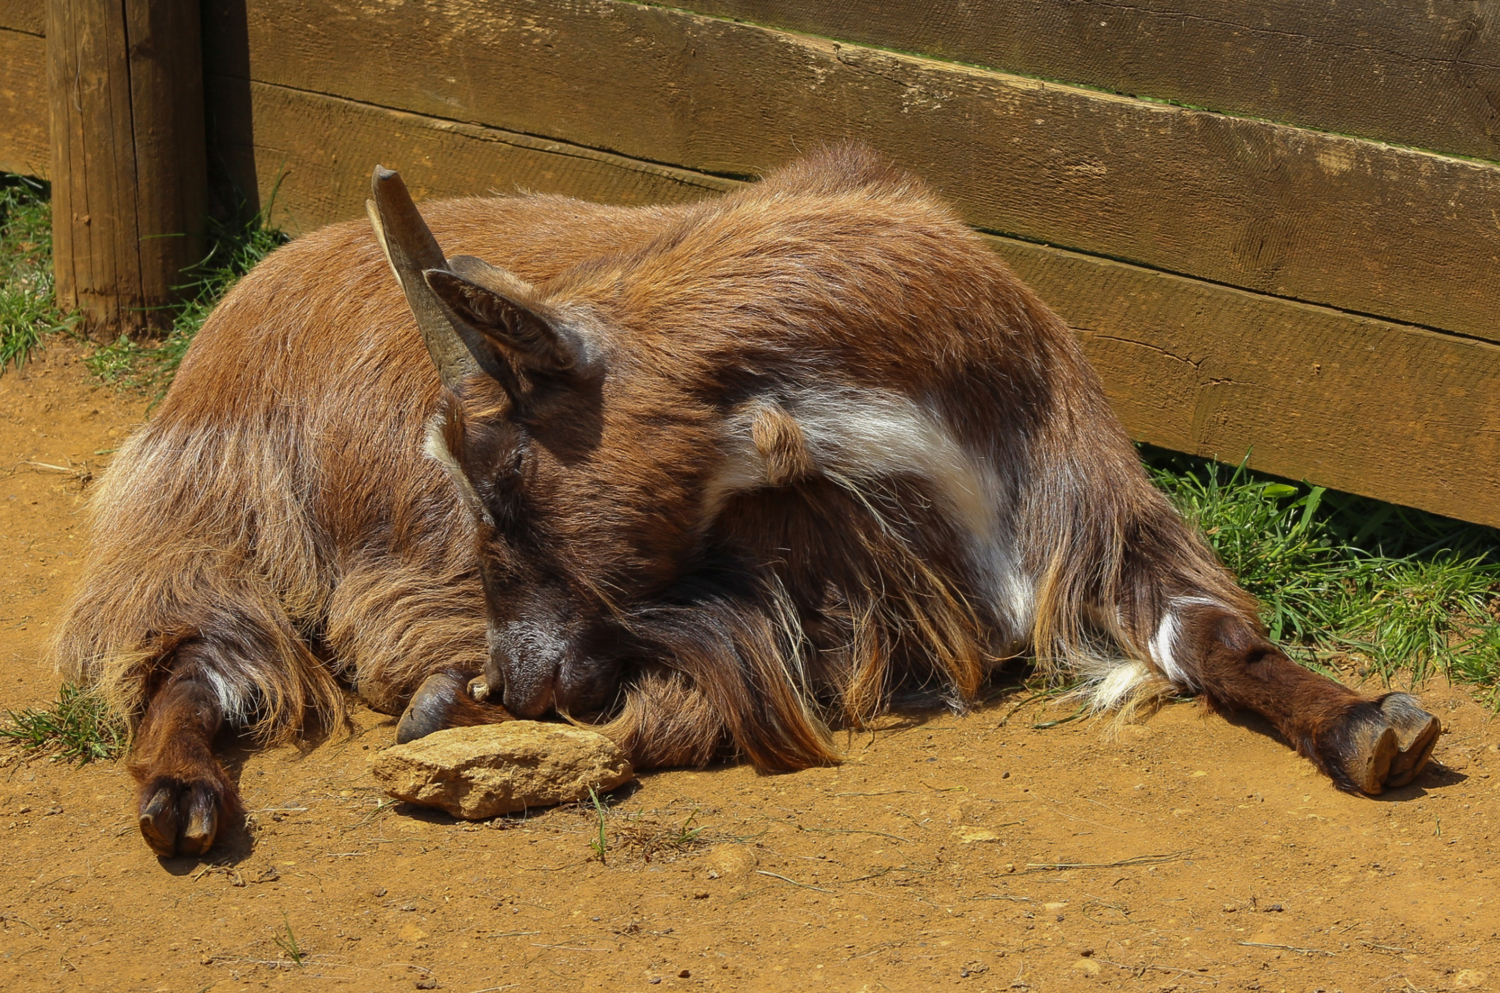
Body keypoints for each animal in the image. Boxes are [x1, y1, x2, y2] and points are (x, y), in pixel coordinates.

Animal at [52, 144, 1440, 858]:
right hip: (217, 506)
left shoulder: (1087, 524)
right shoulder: (805, 607)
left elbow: (1211, 635)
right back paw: (183, 800)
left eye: (504, 479)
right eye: (461, 487)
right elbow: (696, 698)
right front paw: (471, 729)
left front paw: (1368, 724)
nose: (517, 674)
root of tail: (241, 304)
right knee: (193, 640)